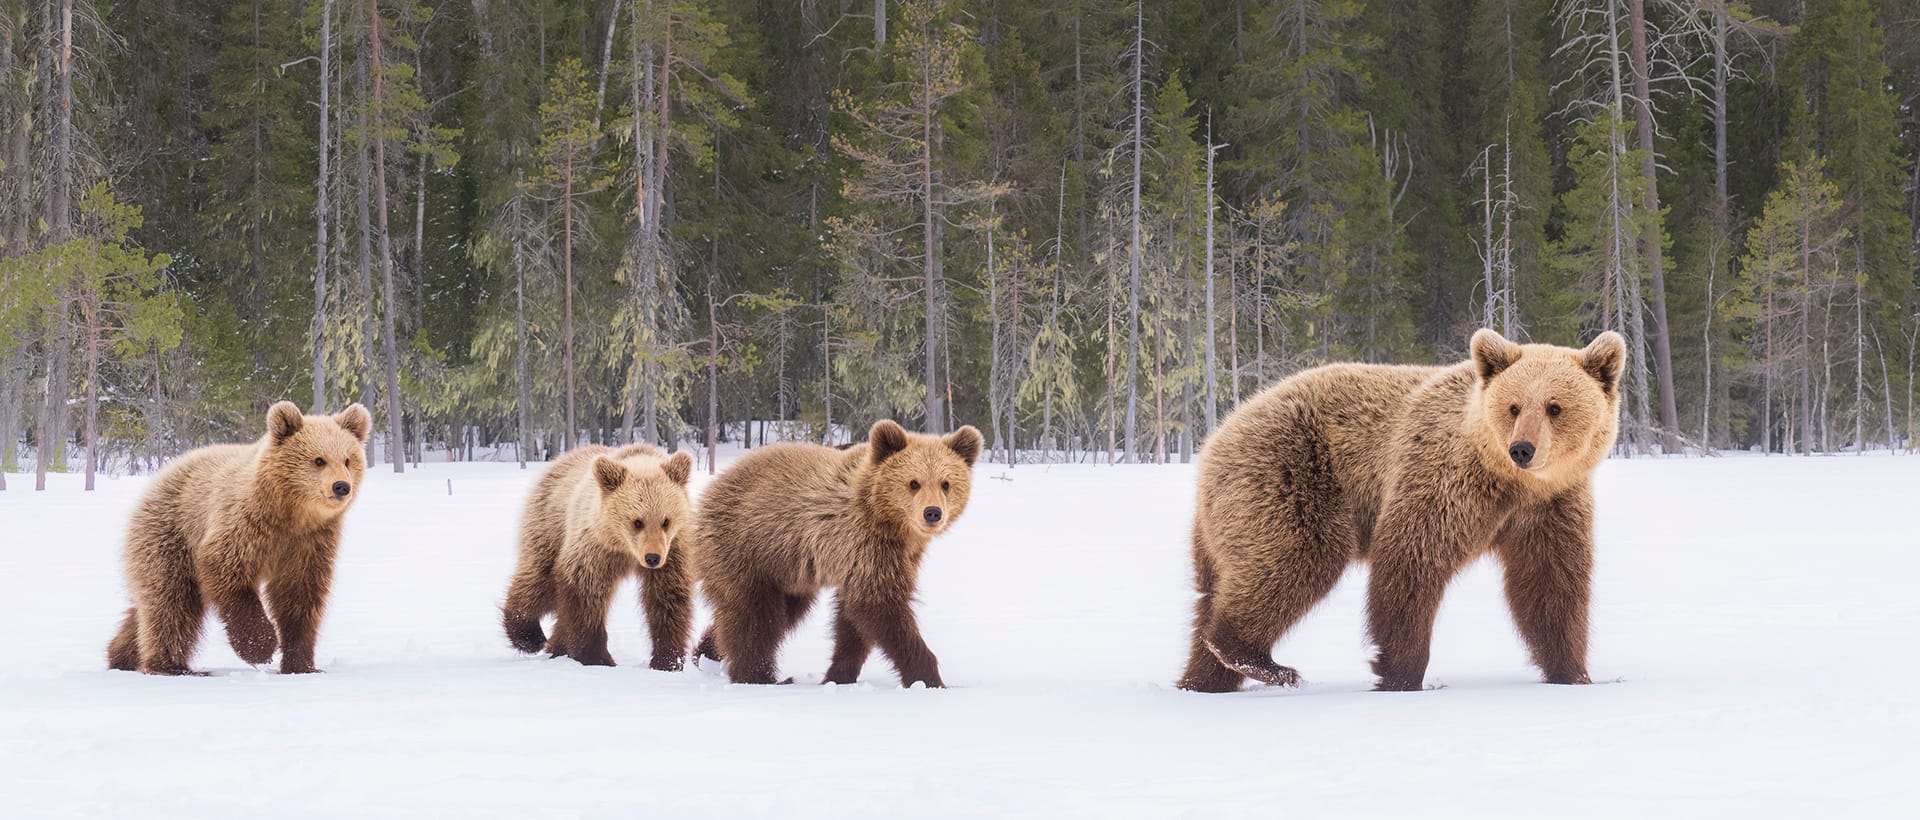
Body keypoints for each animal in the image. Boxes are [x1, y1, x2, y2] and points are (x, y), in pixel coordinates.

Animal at [106, 401, 372, 676]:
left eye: (347, 459)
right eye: (319, 460)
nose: (341, 486)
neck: (290, 514)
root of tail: (159, 477)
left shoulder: (309, 542)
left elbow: (299, 595)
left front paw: (302, 665)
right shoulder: (245, 526)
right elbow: (227, 572)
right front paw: (260, 646)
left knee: (146, 604)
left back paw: (121, 655)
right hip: (171, 534)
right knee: (172, 601)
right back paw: (171, 666)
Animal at [501, 443, 697, 670]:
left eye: (666, 521)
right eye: (637, 522)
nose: (652, 558)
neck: (625, 549)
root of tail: (562, 458)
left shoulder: (673, 552)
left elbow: (667, 598)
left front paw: (667, 660)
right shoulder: (597, 548)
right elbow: (587, 592)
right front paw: (597, 658)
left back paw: (555, 646)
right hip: (549, 526)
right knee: (539, 581)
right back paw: (529, 636)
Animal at [693, 420, 982, 687]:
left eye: (946, 483)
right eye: (913, 483)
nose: (932, 512)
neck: (886, 521)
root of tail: (711, 489)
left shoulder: (890, 556)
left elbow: (852, 623)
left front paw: (838, 676)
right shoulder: (862, 543)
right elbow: (880, 606)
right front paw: (931, 679)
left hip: (787, 572)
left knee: (775, 613)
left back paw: (705, 655)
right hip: (746, 547)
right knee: (755, 618)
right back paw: (759, 677)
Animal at [1176, 329, 1626, 693]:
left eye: (1554, 406)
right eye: (1514, 406)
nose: (1522, 449)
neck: (1510, 483)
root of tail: (1218, 435)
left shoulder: (1550, 507)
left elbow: (1551, 584)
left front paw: (1575, 673)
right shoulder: (1444, 480)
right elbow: (1411, 562)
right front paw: (1401, 673)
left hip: (1223, 522)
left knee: (1214, 591)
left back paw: (1202, 680)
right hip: (1290, 476)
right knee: (1297, 558)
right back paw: (1263, 661)